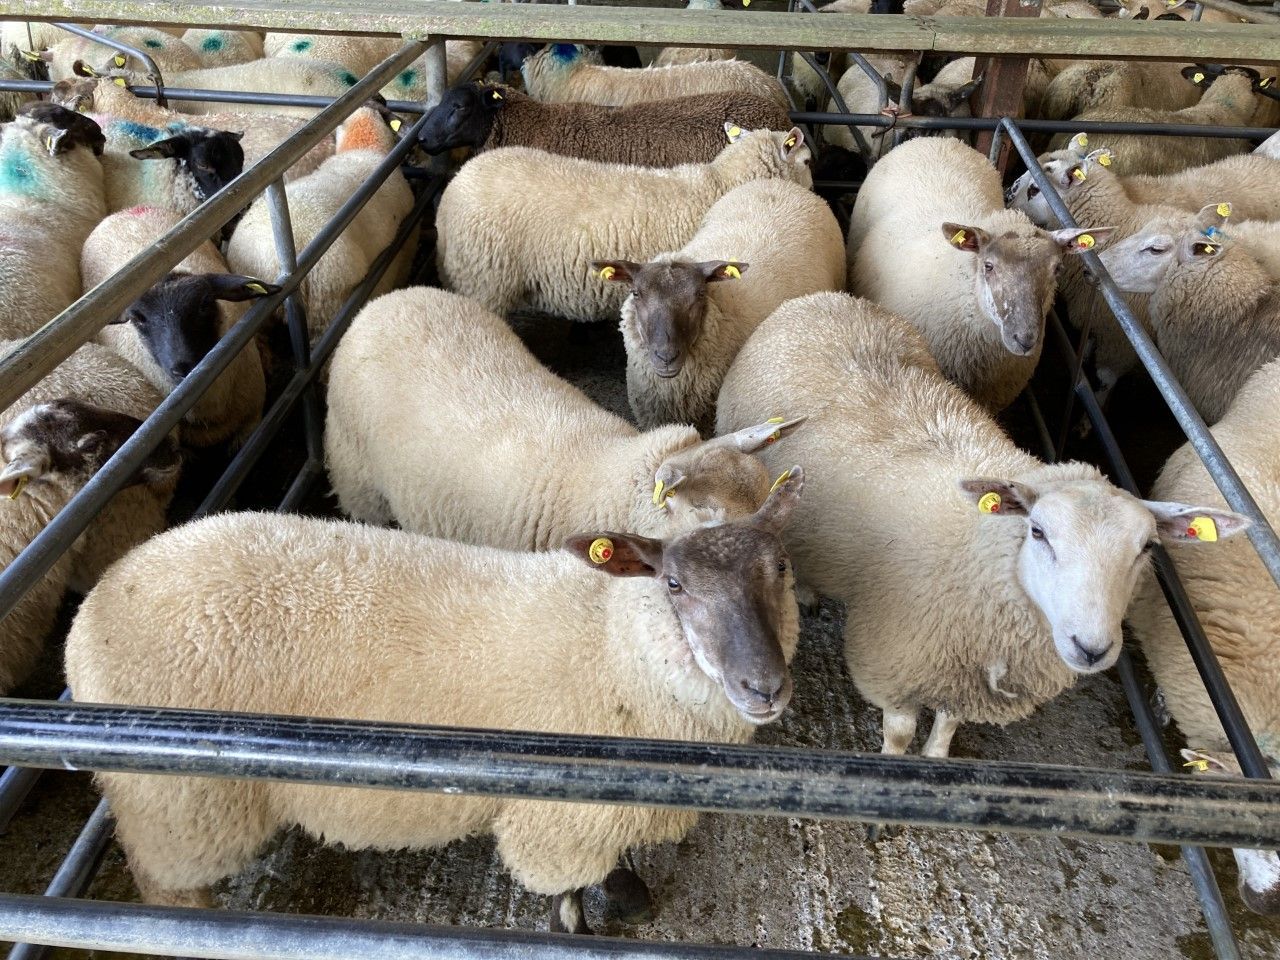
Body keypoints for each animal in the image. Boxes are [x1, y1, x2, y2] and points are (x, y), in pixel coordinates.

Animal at [64, 471, 805, 931]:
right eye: (674, 584)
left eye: (781, 569)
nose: (764, 686)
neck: (612, 643)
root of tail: (92, 608)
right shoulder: (562, 818)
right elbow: (566, 894)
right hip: (177, 805)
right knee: (168, 887)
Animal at [716, 291, 1246, 756]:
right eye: (1039, 532)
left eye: (1146, 548)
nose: (1092, 648)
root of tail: (817, 299)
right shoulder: (894, 660)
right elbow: (900, 732)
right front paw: (895, 762)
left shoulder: (965, 676)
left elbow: (949, 721)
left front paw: (936, 755)